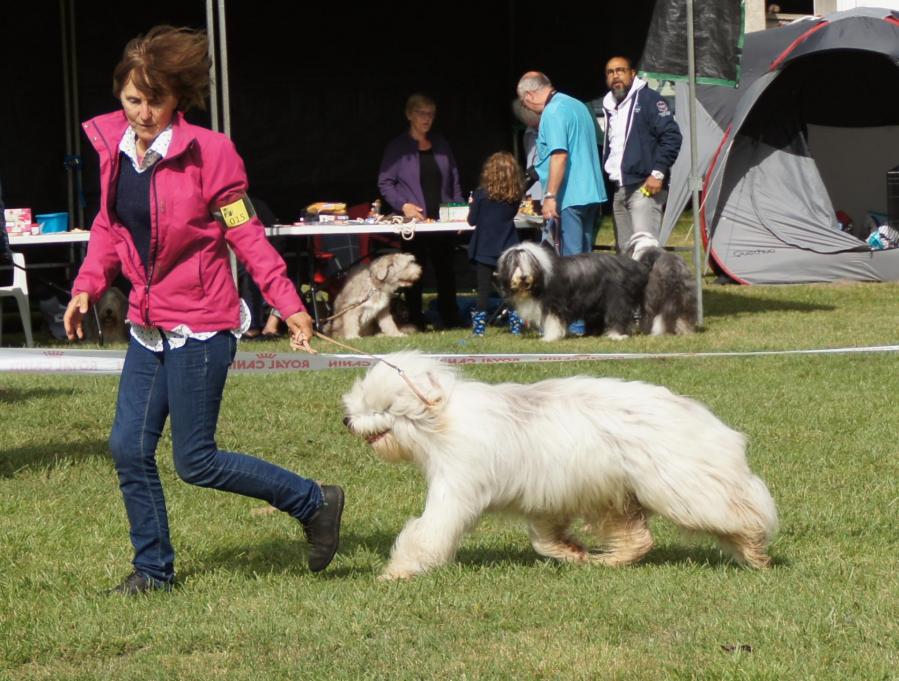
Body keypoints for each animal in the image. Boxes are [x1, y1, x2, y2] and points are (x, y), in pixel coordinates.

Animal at [342, 350, 776, 580]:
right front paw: (572, 552)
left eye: (381, 407)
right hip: (617, 496)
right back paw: (607, 560)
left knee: (740, 514)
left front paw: (397, 572)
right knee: (639, 539)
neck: (442, 419)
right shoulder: (548, 495)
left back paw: (755, 549)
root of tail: (700, 417)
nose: (347, 420)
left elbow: (430, 530)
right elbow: (544, 537)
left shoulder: (457, 486)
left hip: (684, 488)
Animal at [496, 242, 652, 342]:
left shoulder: (554, 303)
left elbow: (552, 321)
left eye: (528, 264)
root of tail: (634, 265)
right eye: (515, 264)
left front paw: (549, 338)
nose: (523, 277)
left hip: (617, 297)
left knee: (618, 314)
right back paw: (590, 334)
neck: (540, 275)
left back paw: (617, 335)